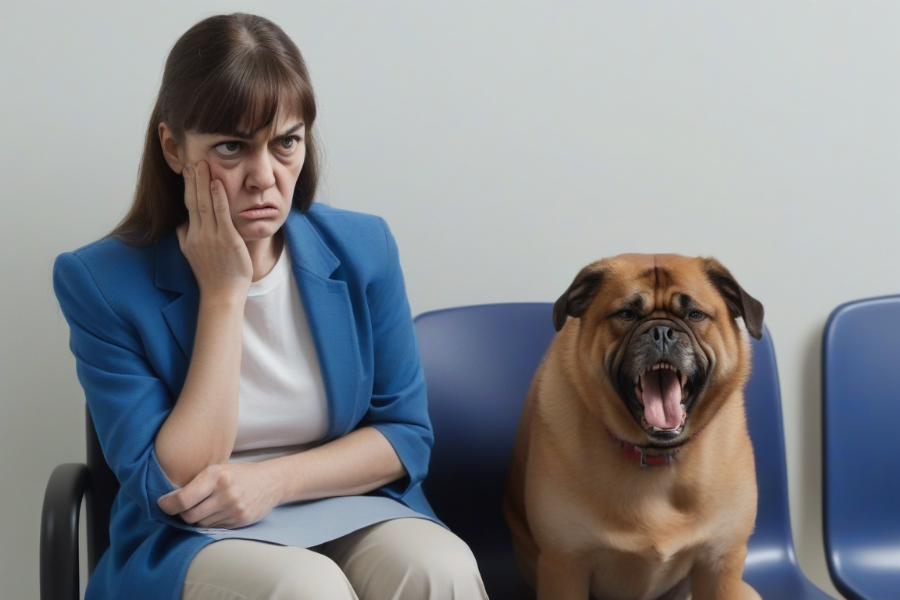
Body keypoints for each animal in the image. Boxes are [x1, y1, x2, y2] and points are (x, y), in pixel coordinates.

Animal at [502, 254, 764, 600]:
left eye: (694, 314)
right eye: (626, 314)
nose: (662, 332)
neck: (654, 457)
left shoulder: (721, 561)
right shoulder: (564, 565)